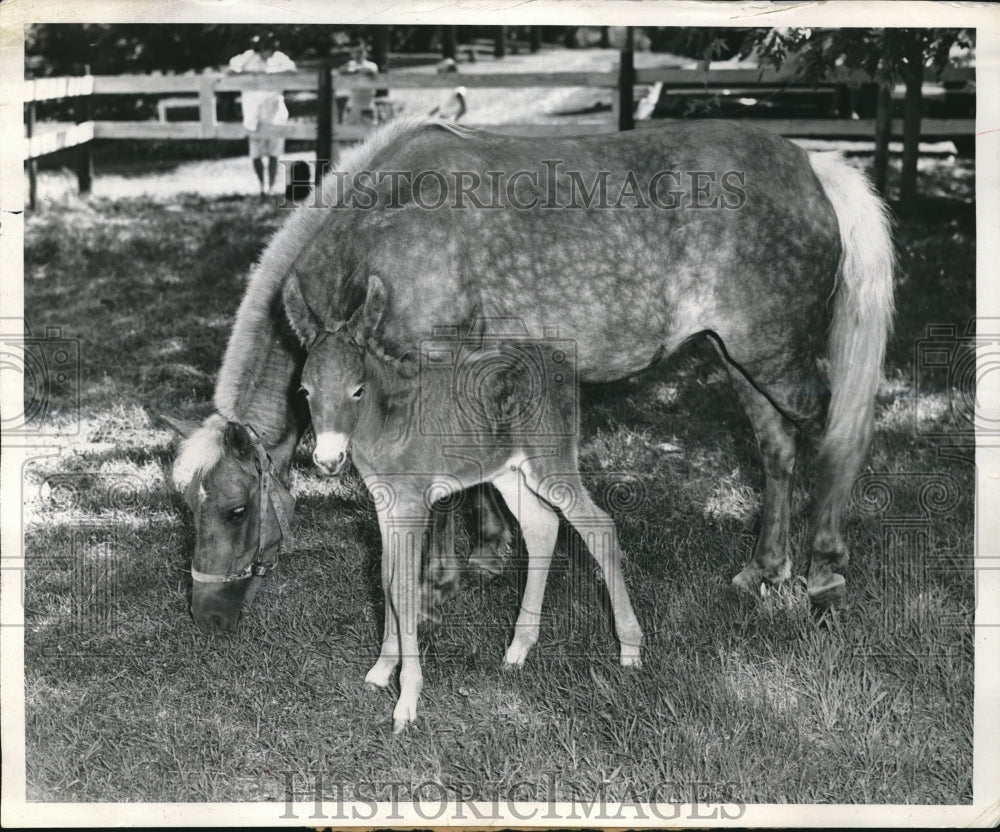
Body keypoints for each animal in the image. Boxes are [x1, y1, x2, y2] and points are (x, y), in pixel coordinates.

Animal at [280, 115, 892, 612]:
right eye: (304, 393)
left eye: (355, 392)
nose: (328, 462)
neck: (390, 225)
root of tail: (810, 166)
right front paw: (486, 553)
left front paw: (439, 580)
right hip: (743, 361)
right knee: (778, 449)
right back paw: (765, 569)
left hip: (778, 362)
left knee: (840, 436)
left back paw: (826, 570)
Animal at [284, 274, 640, 728]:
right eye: (304, 390)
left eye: (357, 389)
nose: (328, 461)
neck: (386, 422)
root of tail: (566, 367)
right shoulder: (385, 501)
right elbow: (386, 577)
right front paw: (382, 670)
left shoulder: (413, 501)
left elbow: (405, 586)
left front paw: (407, 700)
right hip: (509, 470)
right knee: (542, 526)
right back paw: (518, 649)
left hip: (552, 457)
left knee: (599, 526)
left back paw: (630, 649)